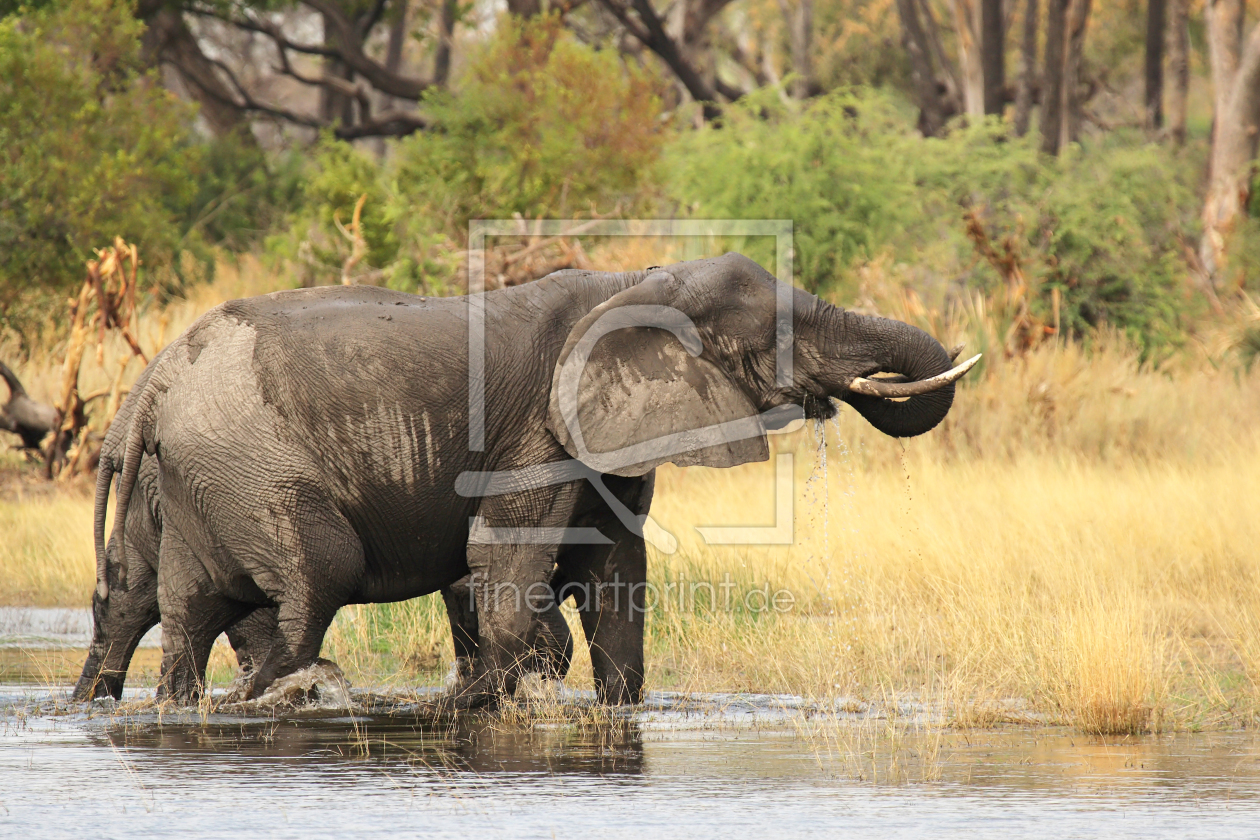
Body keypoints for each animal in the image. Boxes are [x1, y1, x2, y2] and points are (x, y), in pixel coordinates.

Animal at [103, 253, 977, 705]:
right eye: (777, 333)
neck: (635, 280)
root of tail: (159, 380)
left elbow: (618, 573)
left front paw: (609, 711)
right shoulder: (535, 433)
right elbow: (503, 563)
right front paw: (497, 700)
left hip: (202, 476)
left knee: (185, 610)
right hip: (250, 462)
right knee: (315, 576)